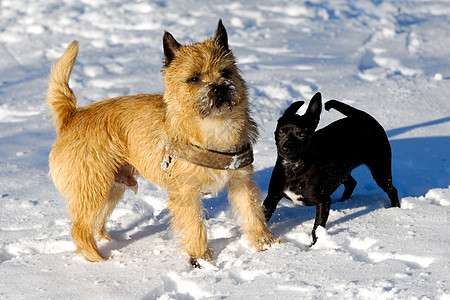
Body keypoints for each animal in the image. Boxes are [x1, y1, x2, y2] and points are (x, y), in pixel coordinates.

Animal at [47, 20, 280, 264]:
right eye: (194, 78)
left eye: (225, 72)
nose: (219, 87)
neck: (215, 128)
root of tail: (71, 116)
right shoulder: (186, 192)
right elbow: (196, 225)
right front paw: (201, 258)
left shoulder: (241, 181)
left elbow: (252, 213)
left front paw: (267, 245)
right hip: (93, 187)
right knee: (79, 228)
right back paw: (100, 259)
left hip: (111, 188)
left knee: (95, 222)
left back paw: (109, 242)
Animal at [264, 92, 400, 245]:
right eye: (280, 131)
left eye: (302, 134)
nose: (286, 147)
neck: (294, 166)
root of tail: (363, 116)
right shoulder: (271, 198)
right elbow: (261, 217)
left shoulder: (322, 201)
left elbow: (316, 228)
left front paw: (314, 245)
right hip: (342, 170)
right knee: (351, 183)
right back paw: (342, 203)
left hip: (380, 169)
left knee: (392, 190)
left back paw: (395, 209)